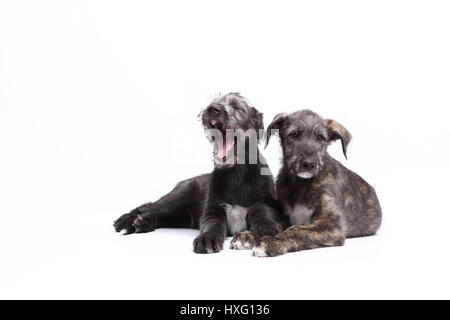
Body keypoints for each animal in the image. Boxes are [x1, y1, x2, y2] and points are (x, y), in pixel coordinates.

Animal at [111, 93, 284, 255]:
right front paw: (207, 238)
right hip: (180, 195)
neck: (236, 174)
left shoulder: (264, 202)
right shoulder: (212, 209)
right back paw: (127, 220)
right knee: (151, 206)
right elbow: (212, 224)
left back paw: (143, 222)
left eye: (236, 106)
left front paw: (267, 231)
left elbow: (262, 212)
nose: (212, 109)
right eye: (214, 101)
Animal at [251, 110, 382, 258]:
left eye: (320, 138)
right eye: (295, 134)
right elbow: (272, 224)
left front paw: (271, 242)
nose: (309, 164)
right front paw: (247, 235)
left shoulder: (332, 225)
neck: (301, 184)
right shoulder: (286, 217)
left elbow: (296, 230)